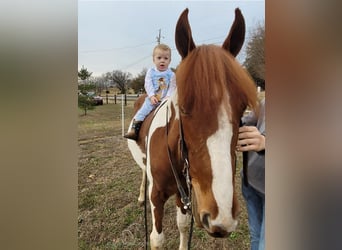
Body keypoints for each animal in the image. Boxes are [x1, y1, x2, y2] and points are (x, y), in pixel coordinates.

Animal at [127, 7, 258, 250]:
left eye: (243, 106)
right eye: (184, 108)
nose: (221, 217)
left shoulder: (184, 194)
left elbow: (181, 225)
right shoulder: (156, 196)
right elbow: (156, 239)